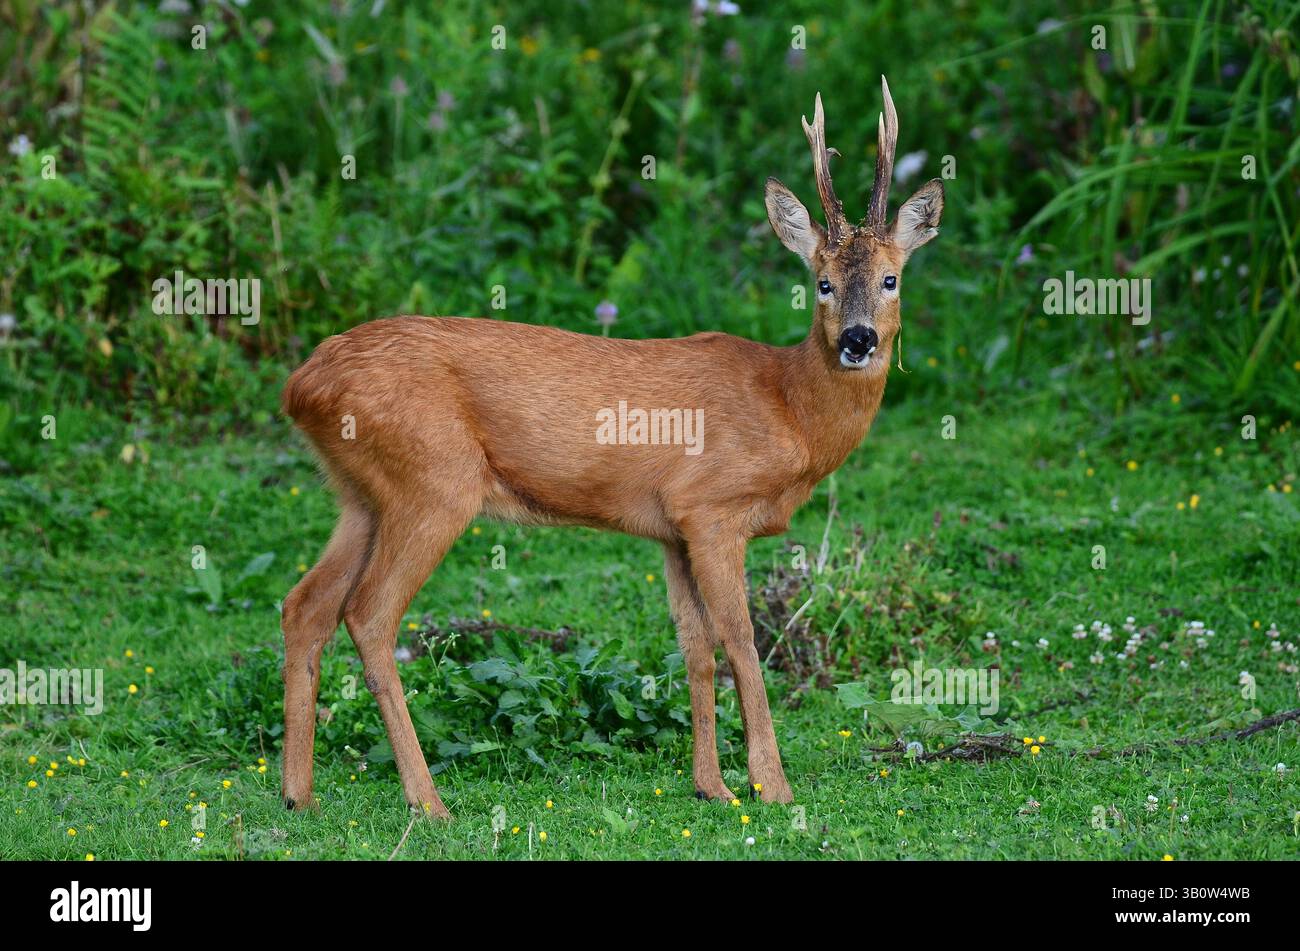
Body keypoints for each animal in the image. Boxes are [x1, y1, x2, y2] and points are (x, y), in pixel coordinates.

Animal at [278, 77, 943, 818]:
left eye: (891, 278)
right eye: (822, 282)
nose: (858, 340)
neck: (790, 408)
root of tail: (302, 383)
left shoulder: (673, 528)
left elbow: (695, 648)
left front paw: (710, 784)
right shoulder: (712, 509)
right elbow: (742, 642)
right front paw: (770, 785)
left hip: (362, 495)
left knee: (305, 605)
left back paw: (299, 795)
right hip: (432, 483)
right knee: (368, 614)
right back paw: (428, 803)